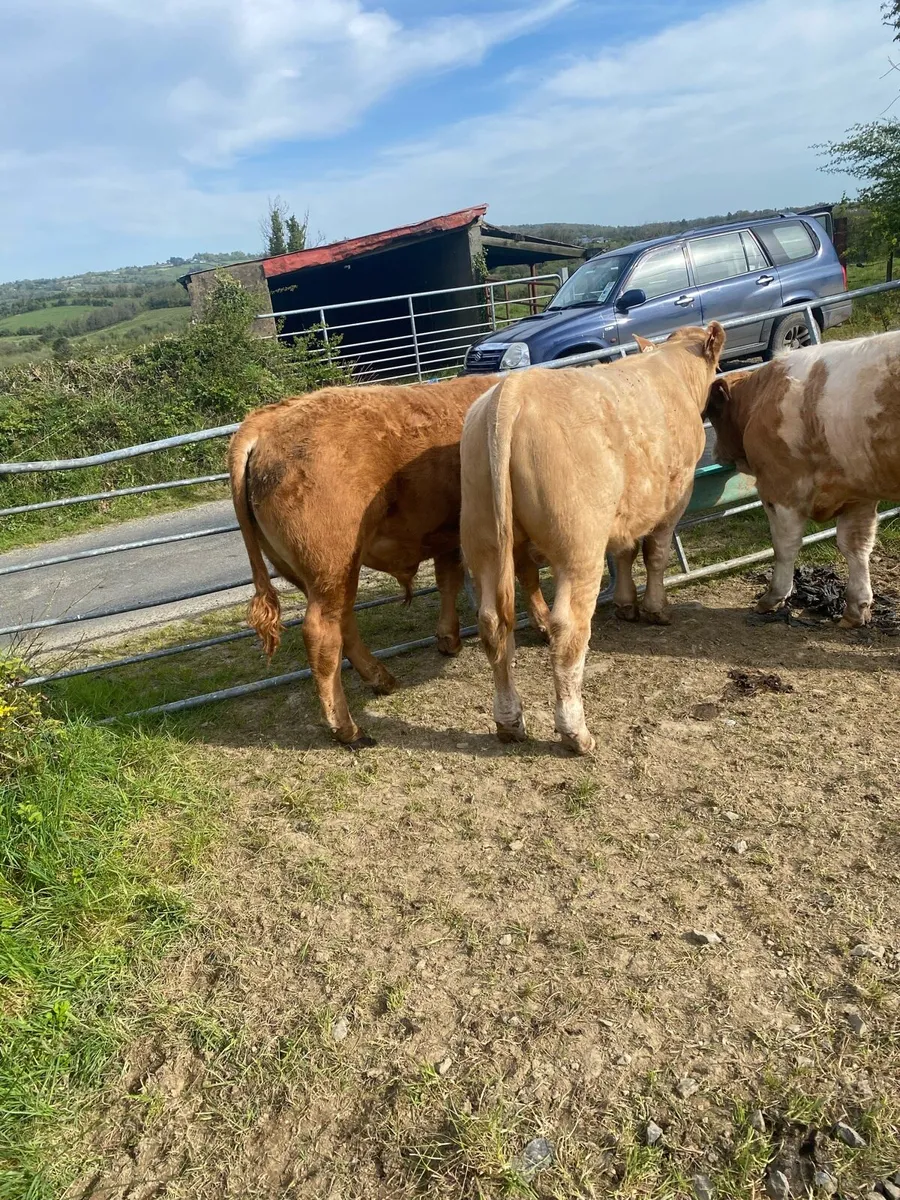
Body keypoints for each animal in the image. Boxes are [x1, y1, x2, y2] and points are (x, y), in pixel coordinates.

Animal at [228, 377, 552, 749]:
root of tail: (265, 420)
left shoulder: (445, 536)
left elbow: (448, 582)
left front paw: (449, 639)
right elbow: (528, 576)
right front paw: (543, 623)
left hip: (316, 572)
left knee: (344, 622)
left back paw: (381, 679)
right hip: (332, 566)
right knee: (322, 634)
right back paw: (348, 728)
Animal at [460, 322, 726, 756]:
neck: (670, 367)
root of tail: (514, 389)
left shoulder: (625, 510)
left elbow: (624, 553)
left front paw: (626, 603)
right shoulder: (675, 495)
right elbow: (655, 554)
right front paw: (655, 609)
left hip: (482, 536)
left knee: (492, 624)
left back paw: (509, 723)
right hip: (578, 546)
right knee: (569, 631)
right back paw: (576, 733)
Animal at [705, 330, 900, 628]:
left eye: (714, 414)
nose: (716, 452)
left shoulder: (781, 490)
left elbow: (784, 546)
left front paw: (773, 597)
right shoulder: (858, 496)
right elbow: (855, 546)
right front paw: (856, 608)